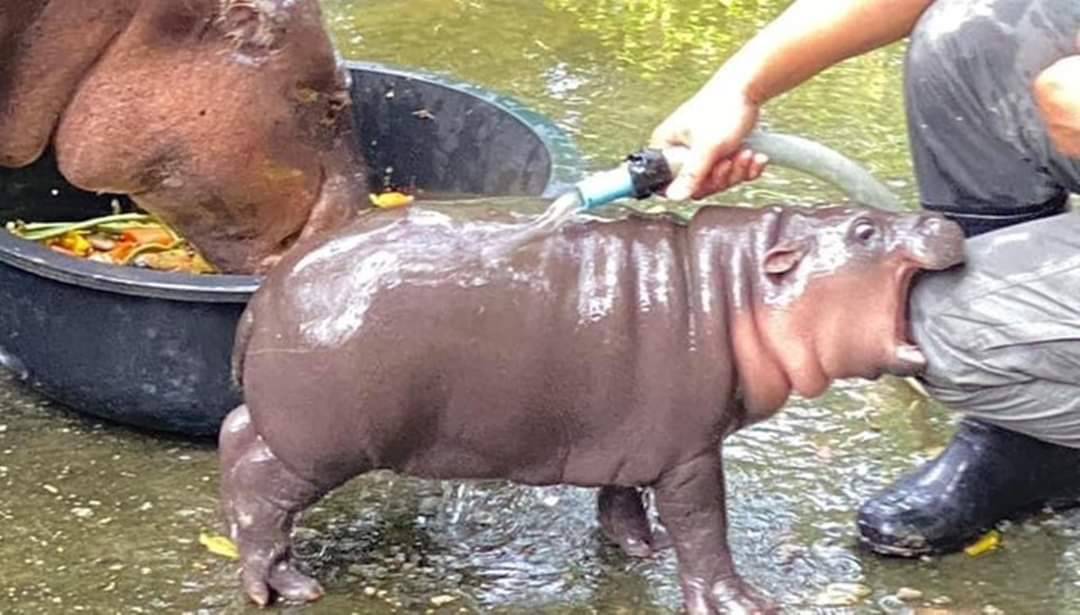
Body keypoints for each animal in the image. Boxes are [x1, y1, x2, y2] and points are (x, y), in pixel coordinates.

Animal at [217, 201, 963, 609]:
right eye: (864, 230)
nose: (941, 219)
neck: (734, 286)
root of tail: (265, 296)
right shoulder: (691, 452)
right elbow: (704, 527)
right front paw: (742, 602)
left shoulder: (636, 435)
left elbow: (622, 495)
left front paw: (639, 548)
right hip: (321, 443)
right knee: (258, 485)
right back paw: (284, 588)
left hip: (298, 430)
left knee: (235, 436)